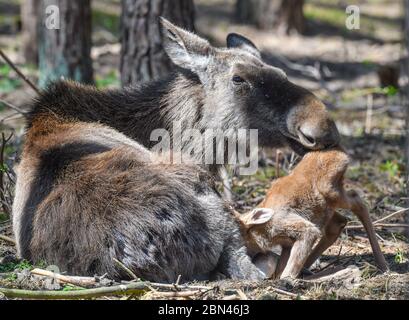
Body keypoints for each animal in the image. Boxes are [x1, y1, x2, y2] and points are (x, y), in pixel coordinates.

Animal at [234, 149, 388, 278]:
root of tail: (342, 155)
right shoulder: (287, 244)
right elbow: (283, 266)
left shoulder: (300, 228)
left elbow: (288, 270)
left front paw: (286, 280)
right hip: (326, 208)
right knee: (338, 222)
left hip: (330, 191)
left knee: (357, 200)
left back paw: (383, 265)